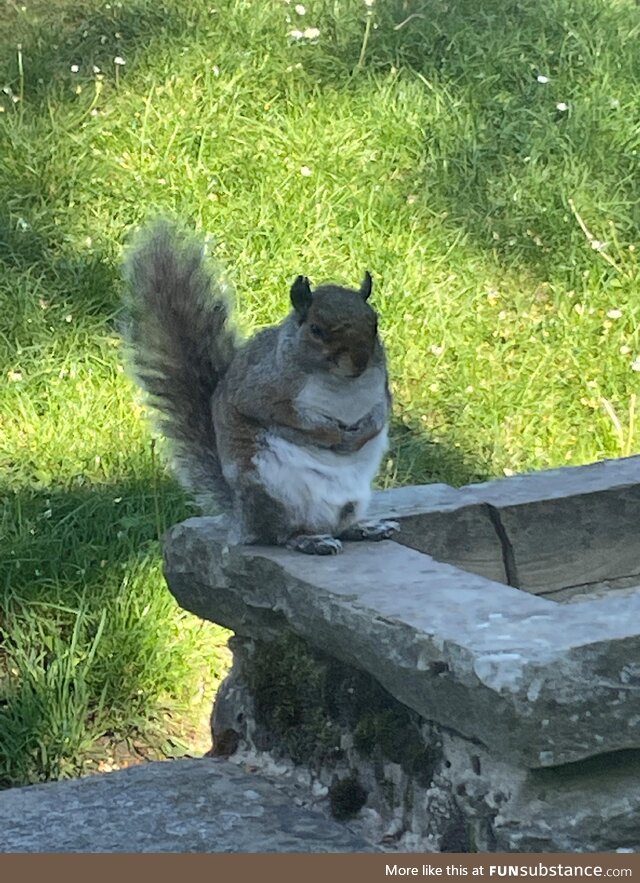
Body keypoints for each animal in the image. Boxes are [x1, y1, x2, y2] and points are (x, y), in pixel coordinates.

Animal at [122, 220, 398, 552]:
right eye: (316, 330)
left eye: (375, 323)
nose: (358, 363)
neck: (341, 384)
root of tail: (242, 520)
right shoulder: (263, 389)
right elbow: (285, 417)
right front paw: (331, 434)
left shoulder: (381, 388)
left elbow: (381, 413)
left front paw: (363, 433)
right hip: (274, 493)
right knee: (279, 535)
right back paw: (308, 540)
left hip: (349, 503)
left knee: (339, 526)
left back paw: (363, 528)